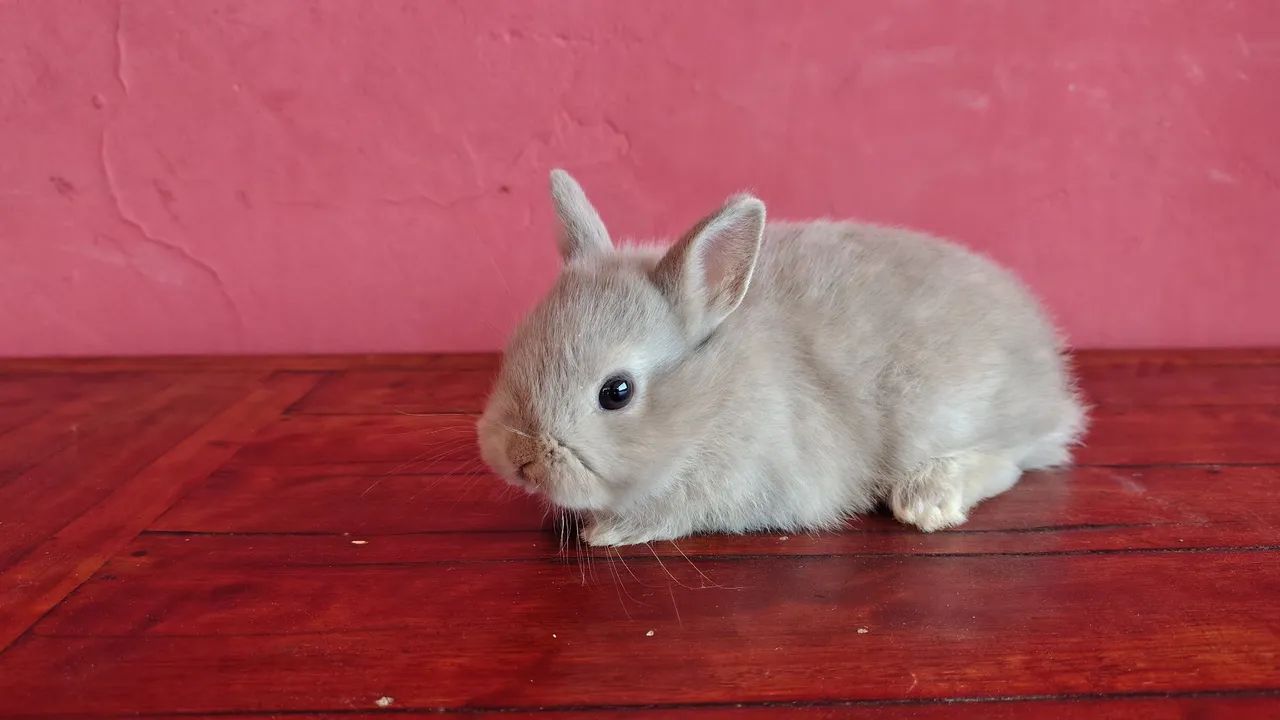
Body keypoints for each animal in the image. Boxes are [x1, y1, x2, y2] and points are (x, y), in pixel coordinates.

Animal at [477, 169, 1086, 547]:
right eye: (517, 345)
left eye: (616, 392)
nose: (520, 458)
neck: (712, 398)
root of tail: (1051, 379)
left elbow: (673, 512)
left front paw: (608, 532)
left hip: (942, 414)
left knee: (1006, 458)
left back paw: (926, 498)